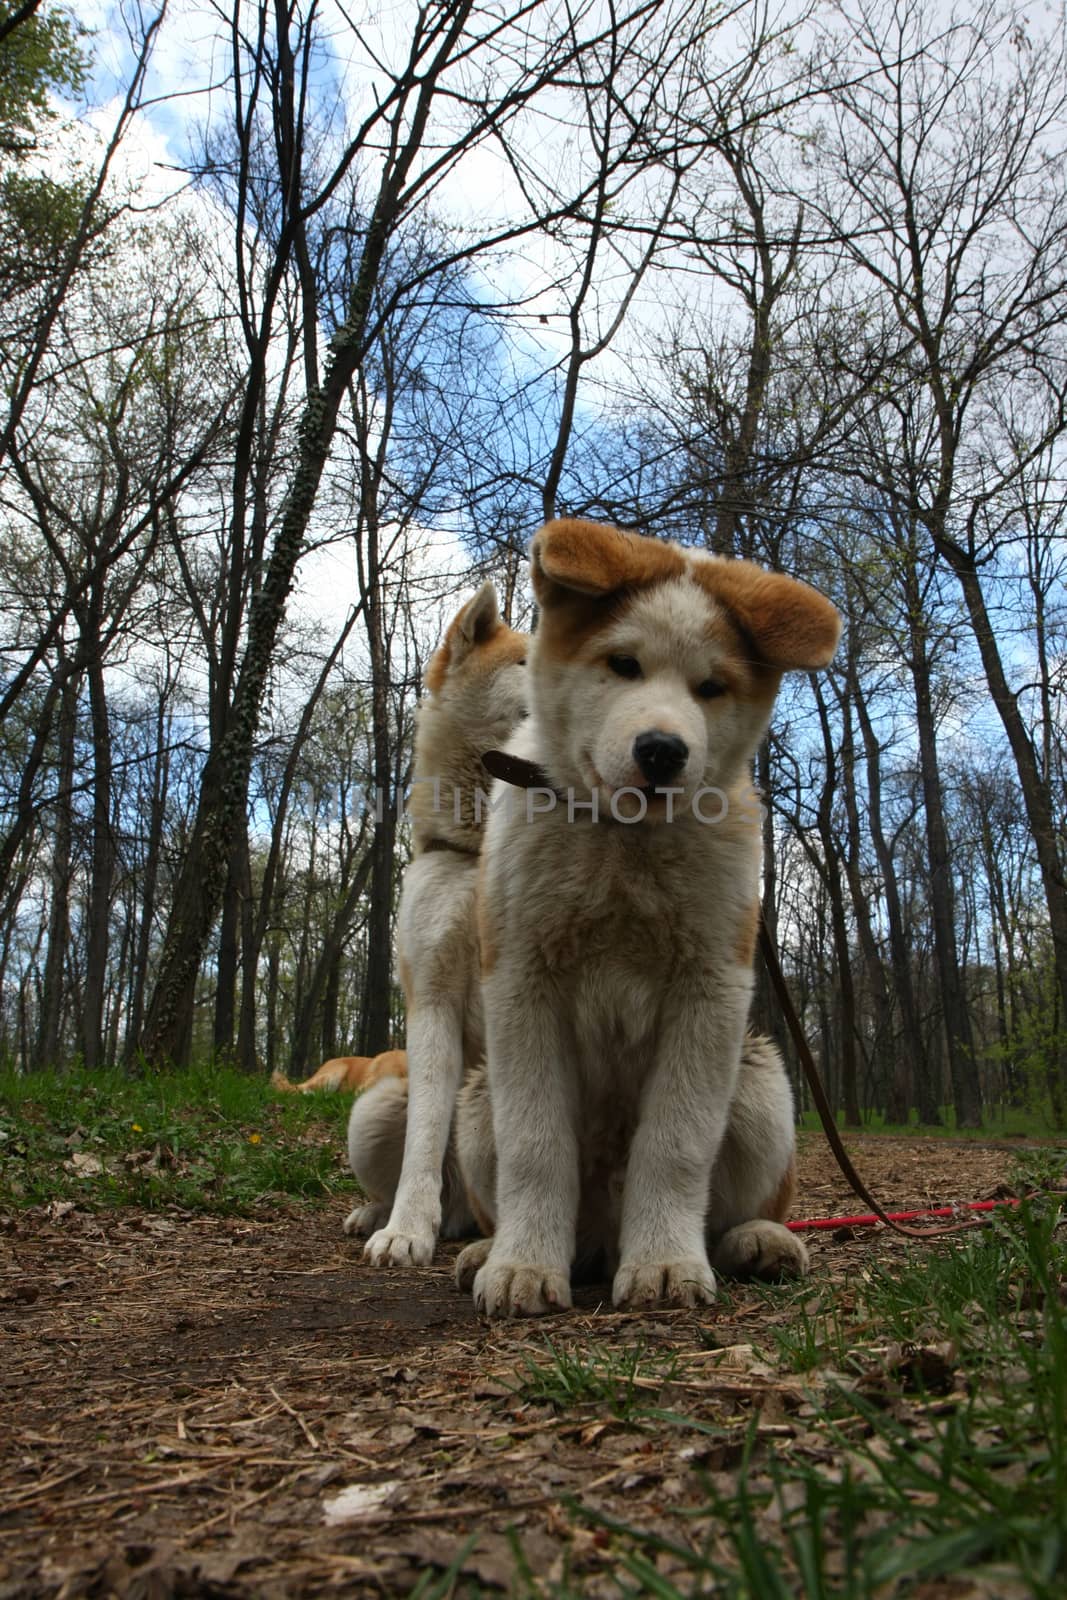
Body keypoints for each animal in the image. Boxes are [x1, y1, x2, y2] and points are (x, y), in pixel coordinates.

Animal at [348, 585, 527, 1260]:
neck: (477, 850)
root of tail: (465, 1217)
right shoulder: (432, 997)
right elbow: (425, 1137)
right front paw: (404, 1230)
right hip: (374, 1106)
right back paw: (380, 1213)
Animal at [460, 518, 844, 1318]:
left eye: (711, 687)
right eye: (623, 664)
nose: (663, 750)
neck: (623, 845)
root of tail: (601, 1242)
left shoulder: (711, 987)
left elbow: (674, 1143)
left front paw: (666, 1262)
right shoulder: (519, 979)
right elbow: (535, 1145)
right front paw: (521, 1265)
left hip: (761, 1081)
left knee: (746, 1205)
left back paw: (757, 1241)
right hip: (476, 1097)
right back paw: (489, 1248)